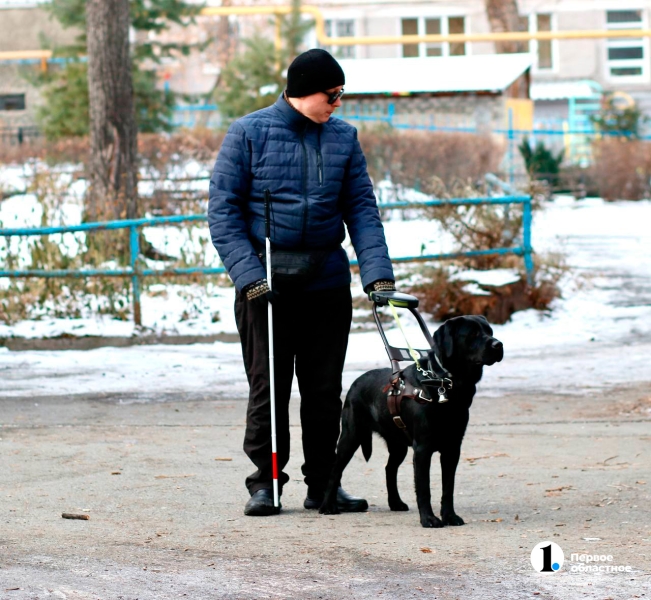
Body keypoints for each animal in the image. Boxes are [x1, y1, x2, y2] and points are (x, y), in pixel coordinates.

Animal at [320, 316, 504, 528]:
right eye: (473, 333)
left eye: (490, 332)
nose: (498, 344)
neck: (444, 383)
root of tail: (355, 382)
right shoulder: (423, 448)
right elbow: (424, 487)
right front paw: (429, 519)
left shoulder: (452, 447)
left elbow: (448, 488)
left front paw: (449, 516)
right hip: (351, 436)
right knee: (335, 470)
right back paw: (327, 506)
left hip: (398, 445)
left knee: (389, 469)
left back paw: (395, 502)